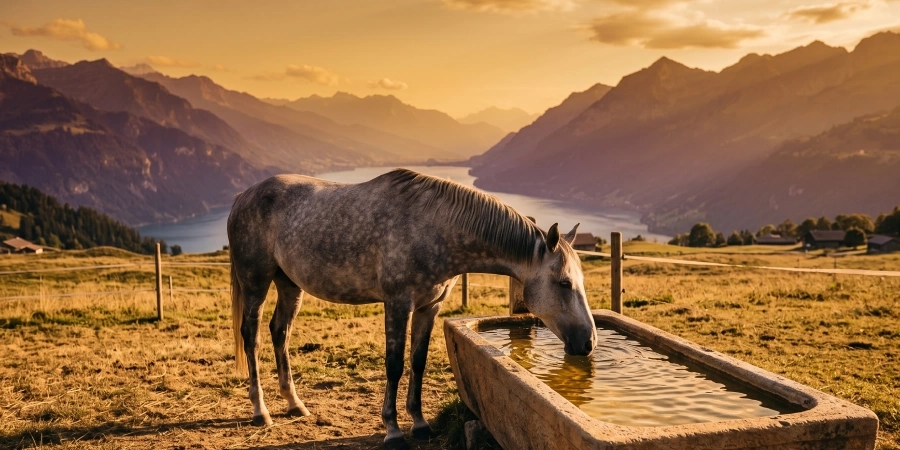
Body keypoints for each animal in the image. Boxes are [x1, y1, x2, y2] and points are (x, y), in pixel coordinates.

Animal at [227, 168, 597, 448]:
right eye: (564, 283)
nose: (589, 342)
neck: (435, 227)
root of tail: (243, 196)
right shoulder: (398, 304)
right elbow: (394, 365)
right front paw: (392, 430)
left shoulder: (428, 308)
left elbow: (418, 363)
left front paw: (419, 424)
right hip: (256, 282)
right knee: (252, 336)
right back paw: (261, 411)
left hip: (289, 284)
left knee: (280, 332)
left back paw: (294, 404)